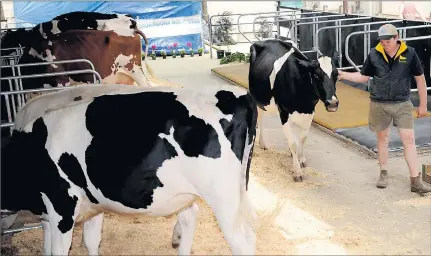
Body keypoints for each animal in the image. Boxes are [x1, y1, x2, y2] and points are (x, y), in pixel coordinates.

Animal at [250, 39, 340, 182]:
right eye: (316, 75)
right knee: (259, 118)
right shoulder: (284, 112)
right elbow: (293, 143)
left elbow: (302, 138)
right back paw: (261, 144)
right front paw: (297, 172)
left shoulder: (310, 112)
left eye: (336, 74)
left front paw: (300, 159)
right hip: (256, 97)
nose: (332, 103)